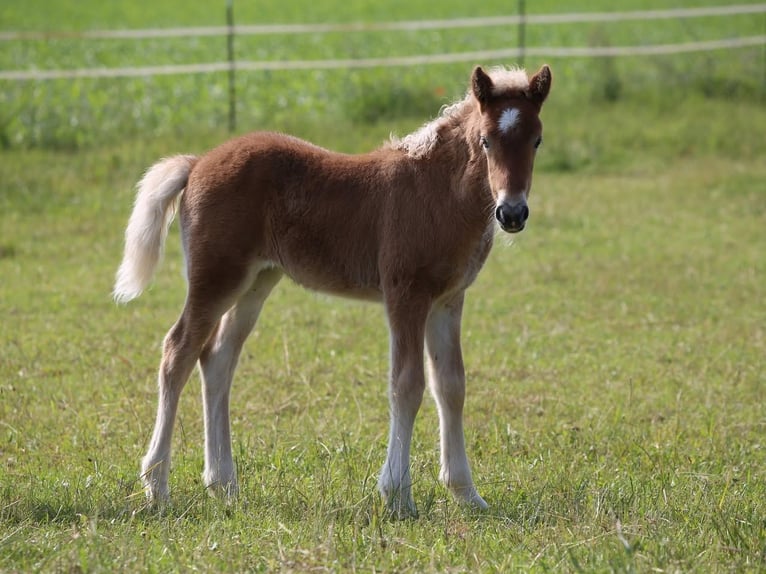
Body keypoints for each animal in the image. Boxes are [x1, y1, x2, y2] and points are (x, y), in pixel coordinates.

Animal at [114, 64, 551, 517]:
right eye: (485, 140)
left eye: (537, 140)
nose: (512, 213)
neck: (436, 192)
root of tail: (197, 162)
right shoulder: (405, 295)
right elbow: (407, 385)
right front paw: (397, 495)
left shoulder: (447, 300)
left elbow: (451, 386)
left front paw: (467, 493)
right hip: (216, 277)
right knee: (178, 352)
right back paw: (157, 487)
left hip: (257, 281)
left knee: (217, 358)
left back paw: (224, 484)